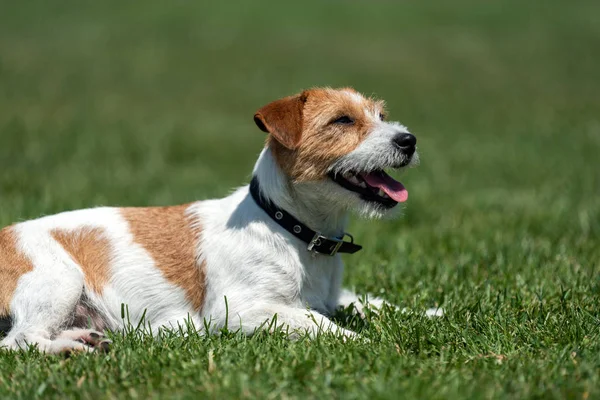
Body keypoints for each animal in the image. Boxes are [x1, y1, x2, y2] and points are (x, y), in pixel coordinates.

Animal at [0, 87, 420, 354]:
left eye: (381, 115)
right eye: (342, 120)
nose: (409, 140)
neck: (289, 227)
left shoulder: (333, 297)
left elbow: (372, 302)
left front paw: (424, 313)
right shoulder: (238, 310)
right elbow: (316, 322)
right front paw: (369, 344)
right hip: (59, 281)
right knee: (20, 341)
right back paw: (69, 349)